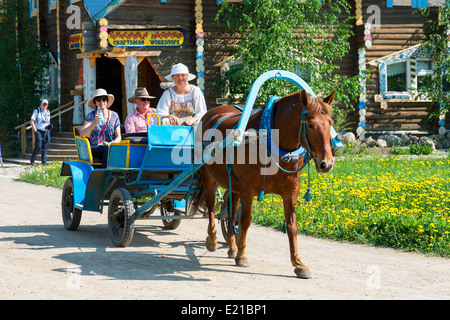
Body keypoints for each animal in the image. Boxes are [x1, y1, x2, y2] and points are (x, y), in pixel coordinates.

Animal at [192, 88, 336, 278]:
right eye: (311, 125)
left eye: (330, 123)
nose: (327, 163)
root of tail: (213, 112)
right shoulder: (247, 189)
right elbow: (246, 221)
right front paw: (242, 255)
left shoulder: (291, 191)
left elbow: (292, 226)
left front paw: (298, 263)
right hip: (208, 176)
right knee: (210, 207)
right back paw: (212, 239)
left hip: (234, 185)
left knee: (230, 212)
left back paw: (231, 245)